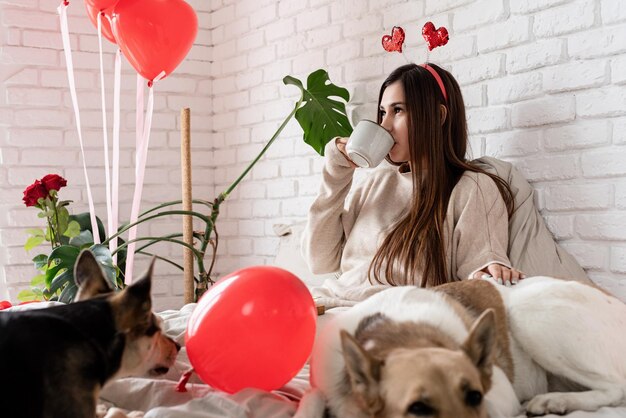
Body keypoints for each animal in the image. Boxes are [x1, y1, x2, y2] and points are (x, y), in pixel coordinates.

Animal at [294, 278, 624, 418]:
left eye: (473, 396)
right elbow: (309, 404)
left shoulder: (498, 394)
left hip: (530, 309)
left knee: (616, 388)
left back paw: (555, 400)